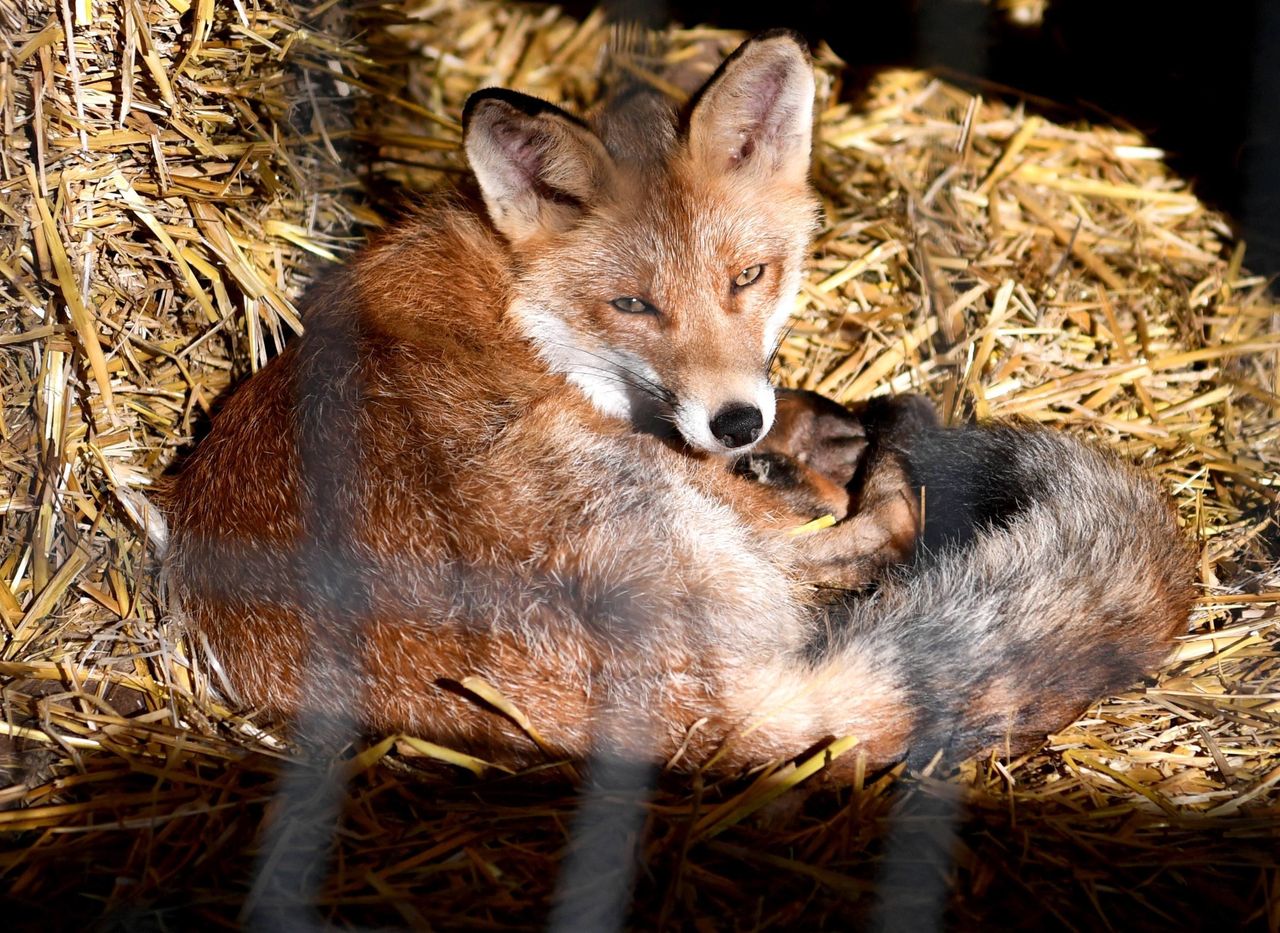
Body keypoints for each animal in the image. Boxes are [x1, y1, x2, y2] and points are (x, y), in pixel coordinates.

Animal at [154, 30, 1192, 773]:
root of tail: (704, 727)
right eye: (634, 306)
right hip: (655, 493)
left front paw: (802, 420)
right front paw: (829, 443)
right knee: (874, 528)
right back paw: (880, 450)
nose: (738, 421)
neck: (512, 296)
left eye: (748, 277)